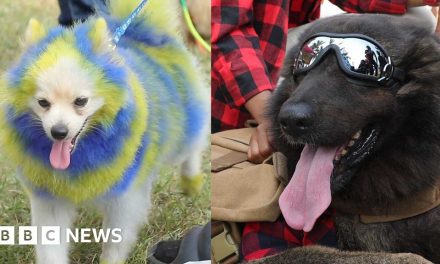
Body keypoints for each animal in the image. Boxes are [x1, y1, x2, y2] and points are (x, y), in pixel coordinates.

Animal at [0, 1, 208, 262]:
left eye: (80, 101)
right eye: (43, 103)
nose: (59, 132)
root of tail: (145, 32)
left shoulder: (123, 200)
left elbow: (114, 244)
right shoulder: (50, 199)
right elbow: (51, 248)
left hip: (181, 134)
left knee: (193, 145)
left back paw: (191, 180)